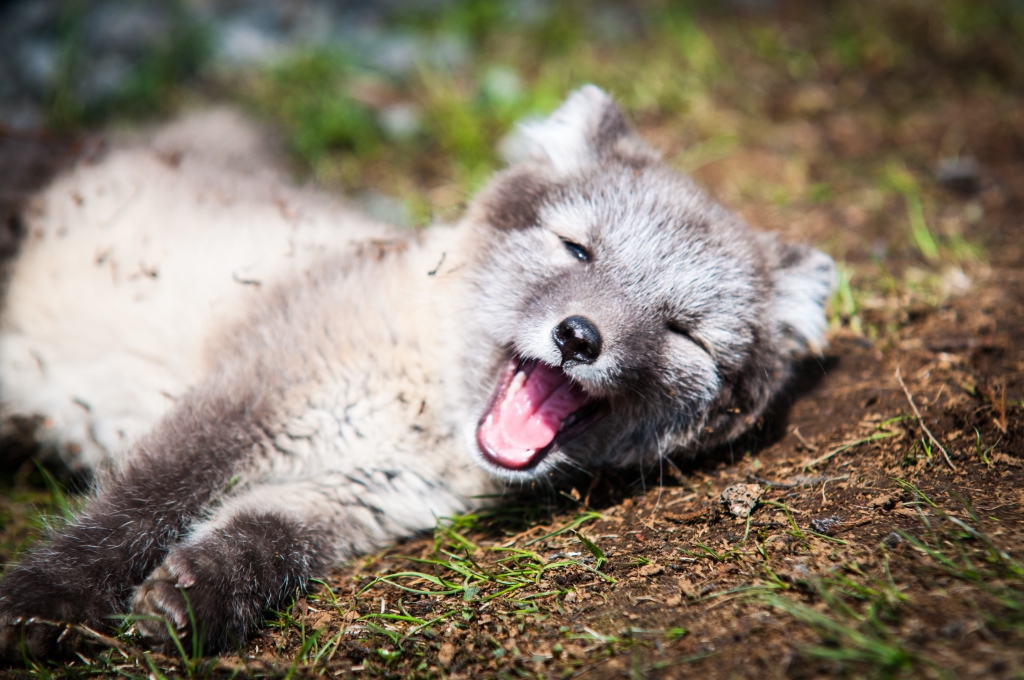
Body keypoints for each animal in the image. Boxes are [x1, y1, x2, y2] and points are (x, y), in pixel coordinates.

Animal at [0, 85, 834, 657]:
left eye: (683, 332)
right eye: (578, 250)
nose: (579, 337)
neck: (421, 406)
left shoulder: (359, 499)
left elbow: (265, 544)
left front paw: (191, 600)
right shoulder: (247, 396)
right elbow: (135, 510)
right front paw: (38, 602)